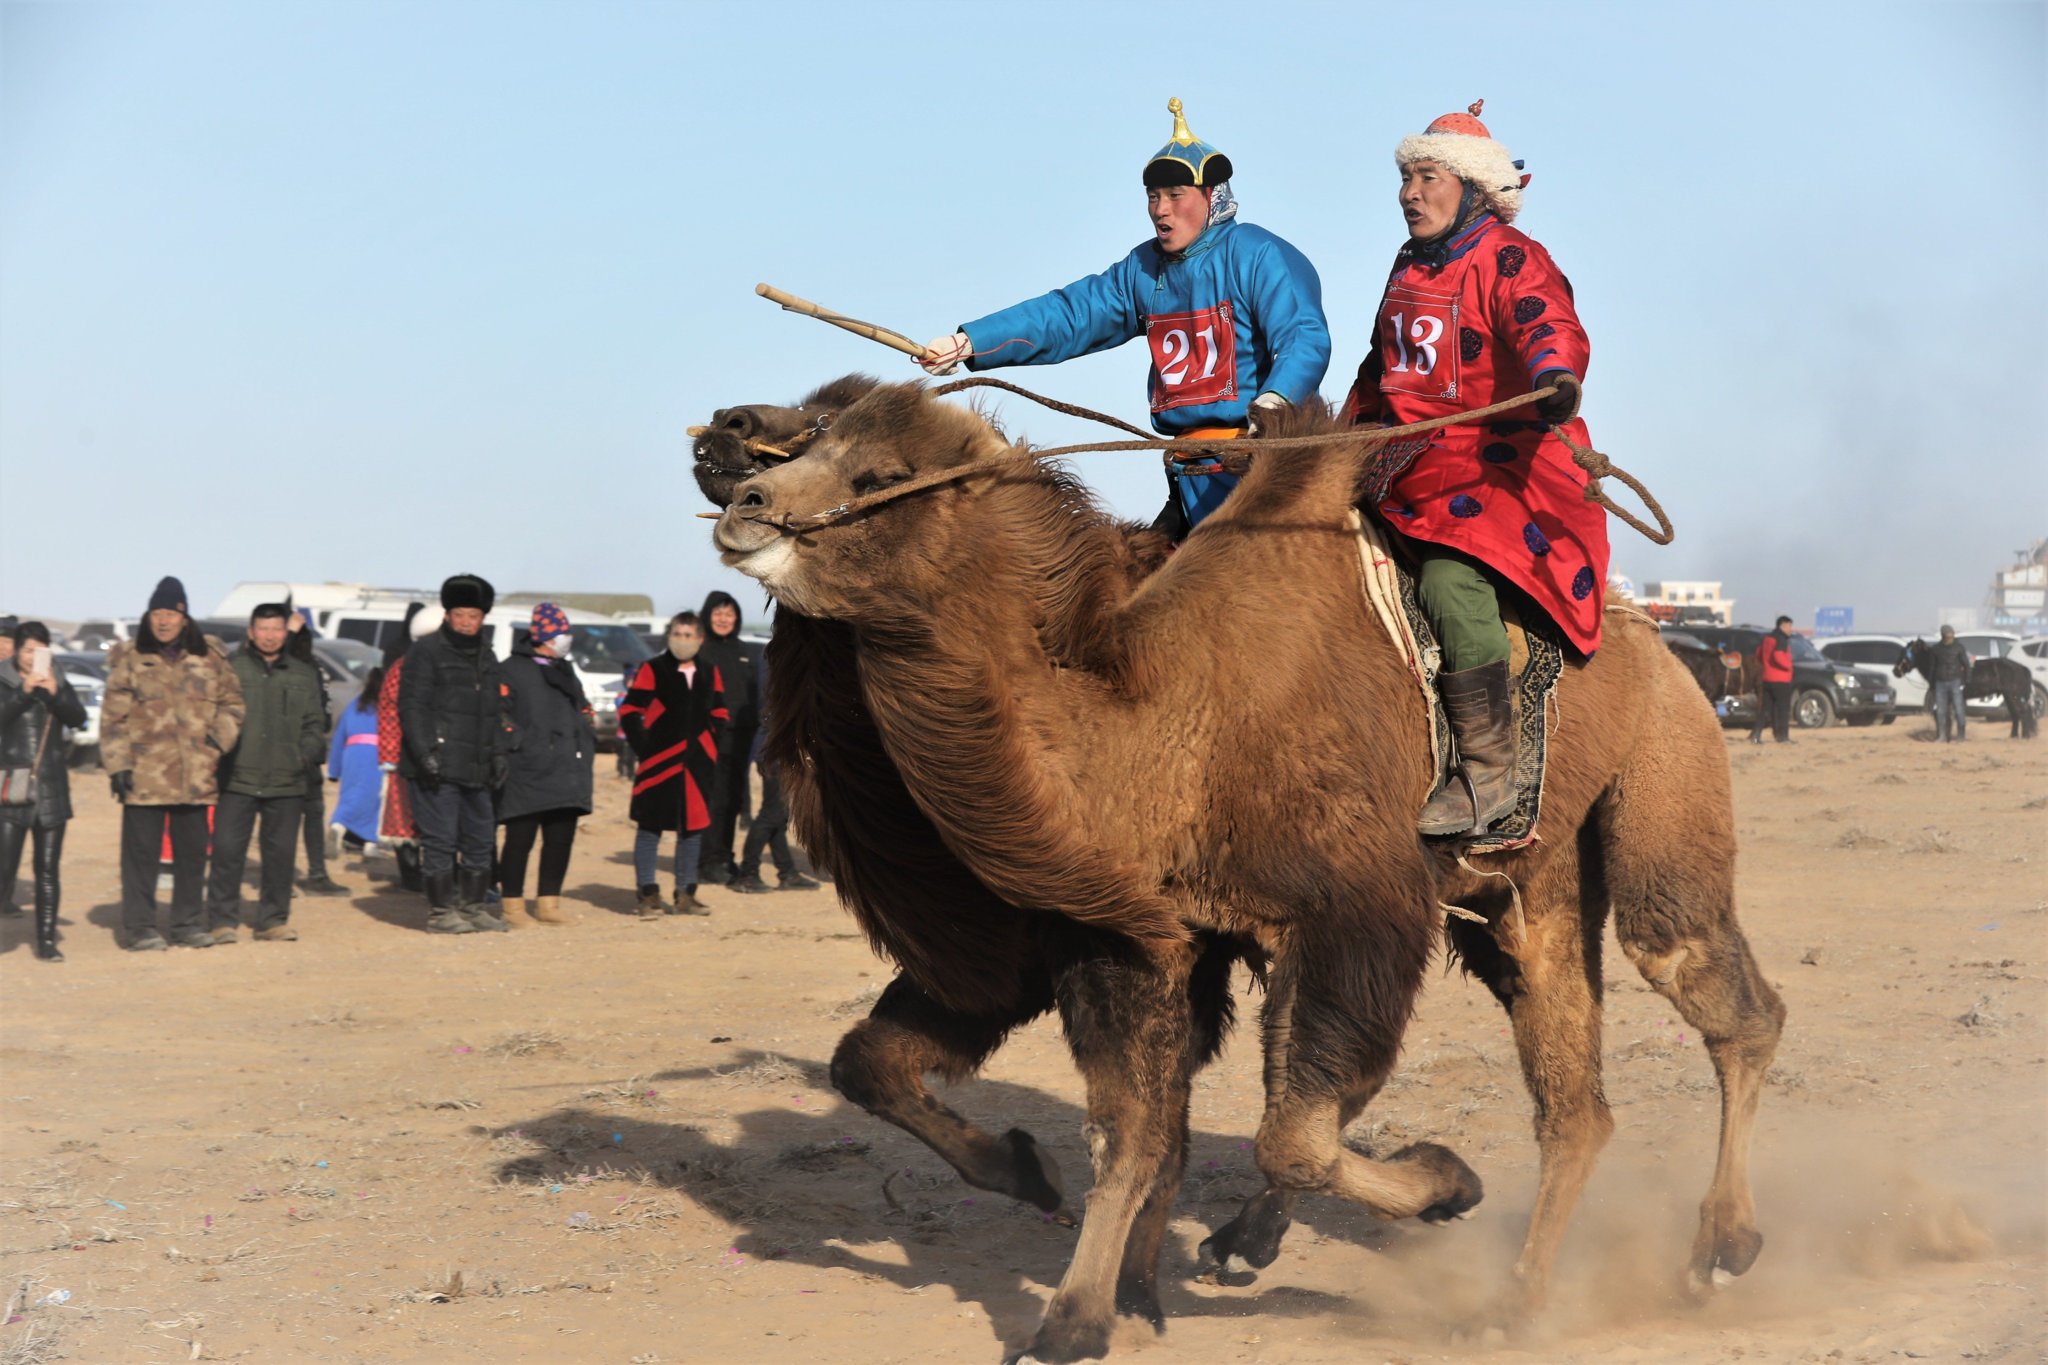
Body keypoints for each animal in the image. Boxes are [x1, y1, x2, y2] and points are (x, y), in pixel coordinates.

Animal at [700, 382, 1777, 1365]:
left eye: (873, 477)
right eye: (814, 437)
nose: (738, 490)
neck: (1171, 717)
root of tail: (1658, 644)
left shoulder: (1351, 913)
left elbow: (1283, 1135)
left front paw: (1446, 1181)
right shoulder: (1135, 938)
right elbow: (1128, 1130)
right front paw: (1080, 1310)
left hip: (1661, 780)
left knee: (1709, 984)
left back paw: (1718, 1249)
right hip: (1524, 897)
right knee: (1573, 1102)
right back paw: (1506, 1303)